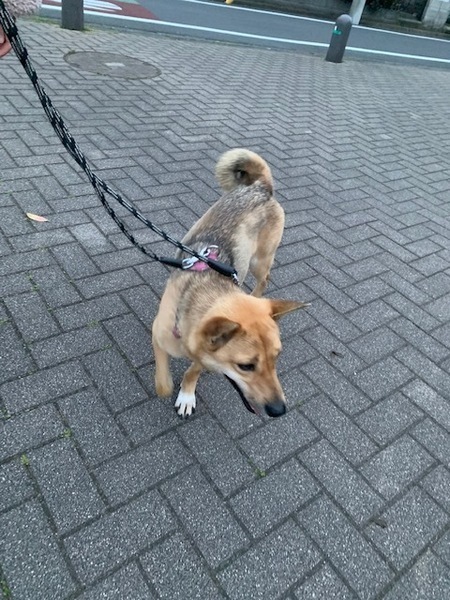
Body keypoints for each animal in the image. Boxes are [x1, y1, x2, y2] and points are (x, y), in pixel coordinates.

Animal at [151, 148, 308, 418]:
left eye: (276, 358)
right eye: (246, 366)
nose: (279, 410)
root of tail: (261, 188)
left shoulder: (204, 354)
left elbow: (194, 370)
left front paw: (187, 393)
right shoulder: (158, 332)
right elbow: (163, 378)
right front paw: (167, 385)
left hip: (259, 260)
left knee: (264, 279)